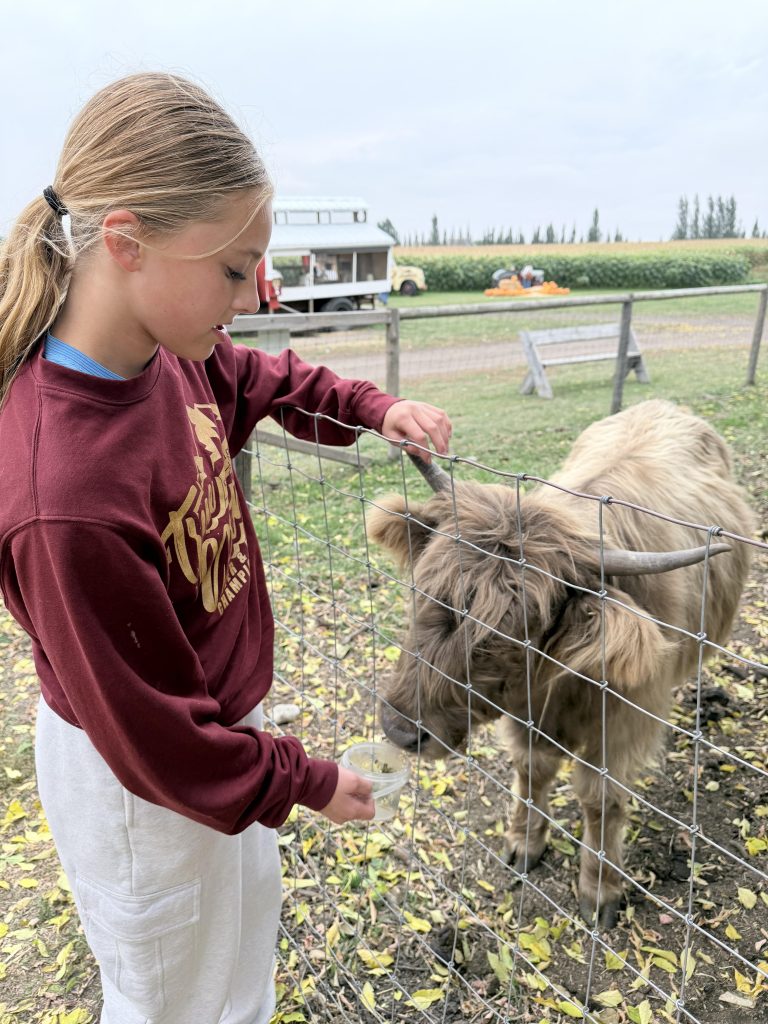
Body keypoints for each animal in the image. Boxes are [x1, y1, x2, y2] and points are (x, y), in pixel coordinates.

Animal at [368, 400, 754, 928]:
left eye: (510, 632)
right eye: (423, 590)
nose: (399, 730)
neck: (562, 682)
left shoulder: (624, 720)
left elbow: (600, 798)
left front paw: (599, 889)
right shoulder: (528, 712)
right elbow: (532, 769)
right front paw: (523, 842)